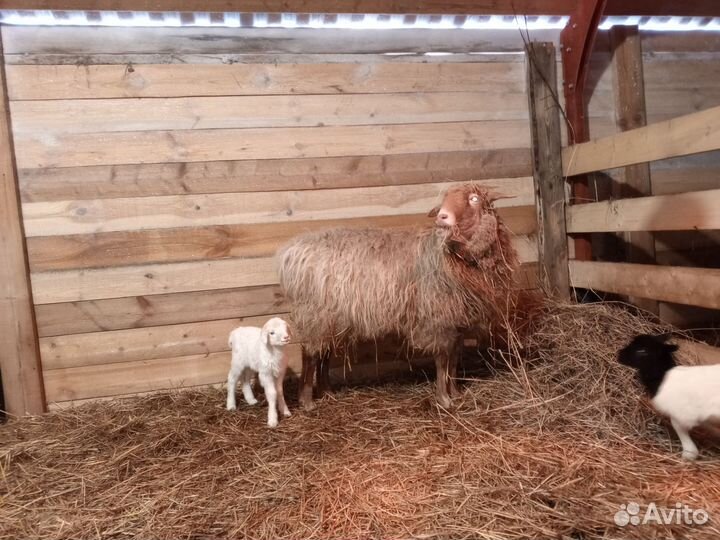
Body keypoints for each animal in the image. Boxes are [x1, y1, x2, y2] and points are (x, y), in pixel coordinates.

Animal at [277, 183, 520, 411]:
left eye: (474, 199)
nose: (442, 216)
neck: (448, 255)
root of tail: (292, 251)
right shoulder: (438, 318)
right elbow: (443, 360)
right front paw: (444, 399)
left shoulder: (456, 319)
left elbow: (454, 359)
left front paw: (455, 393)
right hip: (314, 313)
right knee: (310, 353)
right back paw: (307, 400)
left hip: (330, 317)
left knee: (323, 352)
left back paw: (326, 391)